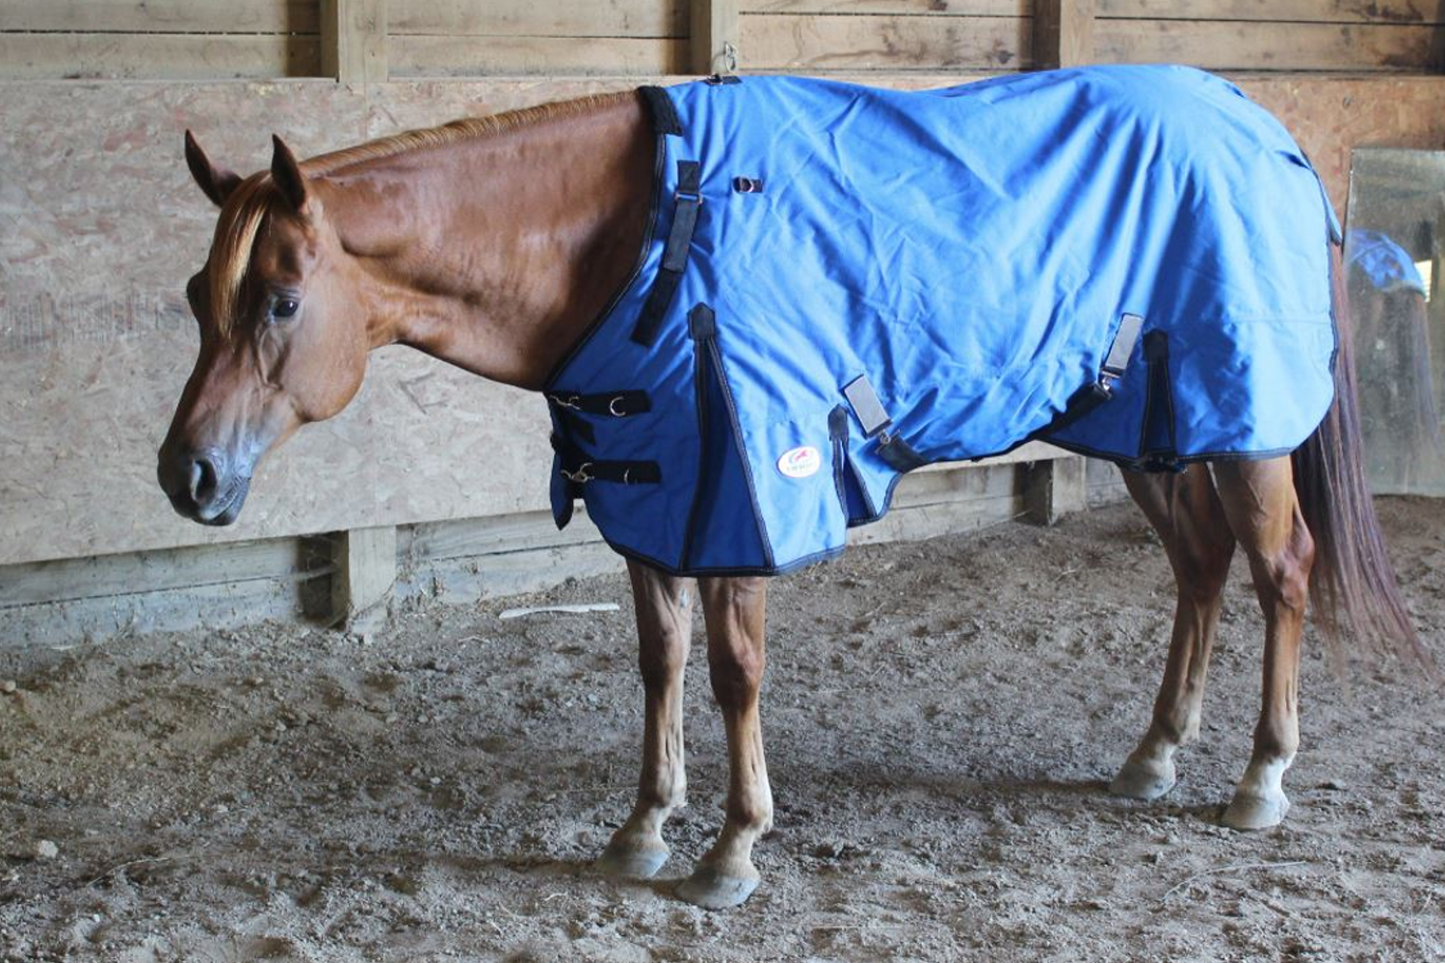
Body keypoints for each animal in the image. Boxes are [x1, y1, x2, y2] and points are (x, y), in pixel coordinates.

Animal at [158, 73, 1423, 910]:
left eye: (279, 298)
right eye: (194, 294)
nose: (188, 475)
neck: (646, 238)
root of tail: (1272, 137)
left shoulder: (743, 493)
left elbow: (732, 672)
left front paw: (732, 848)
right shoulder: (653, 493)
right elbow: (659, 662)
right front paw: (643, 827)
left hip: (1242, 432)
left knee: (1280, 571)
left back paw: (1259, 777)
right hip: (1146, 429)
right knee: (1200, 567)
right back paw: (1153, 755)